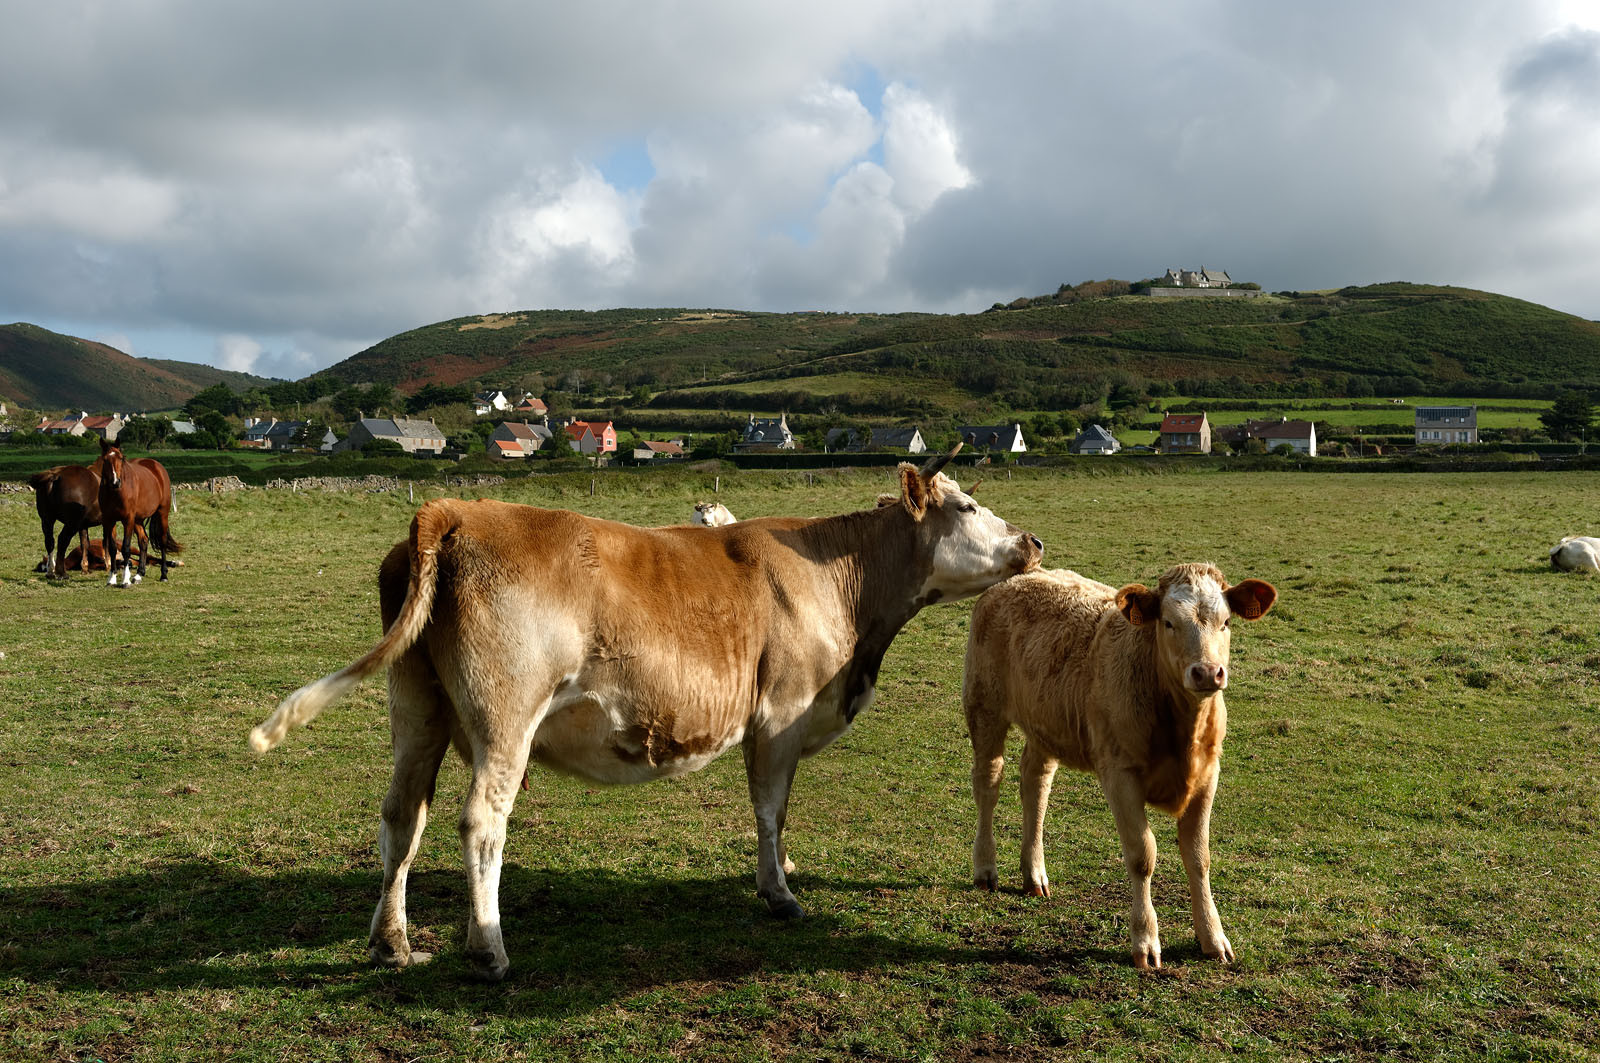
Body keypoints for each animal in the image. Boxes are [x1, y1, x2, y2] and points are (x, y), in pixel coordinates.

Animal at [97, 441, 181, 585]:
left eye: (121, 458)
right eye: (105, 459)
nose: (115, 482)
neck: (116, 493)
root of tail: (157, 467)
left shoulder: (127, 519)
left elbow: (126, 548)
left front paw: (125, 580)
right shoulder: (109, 520)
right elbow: (113, 548)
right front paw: (112, 578)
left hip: (162, 514)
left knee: (162, 541)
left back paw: (163, 574)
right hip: (138, 519)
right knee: (144, 541)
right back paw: (139, 574)